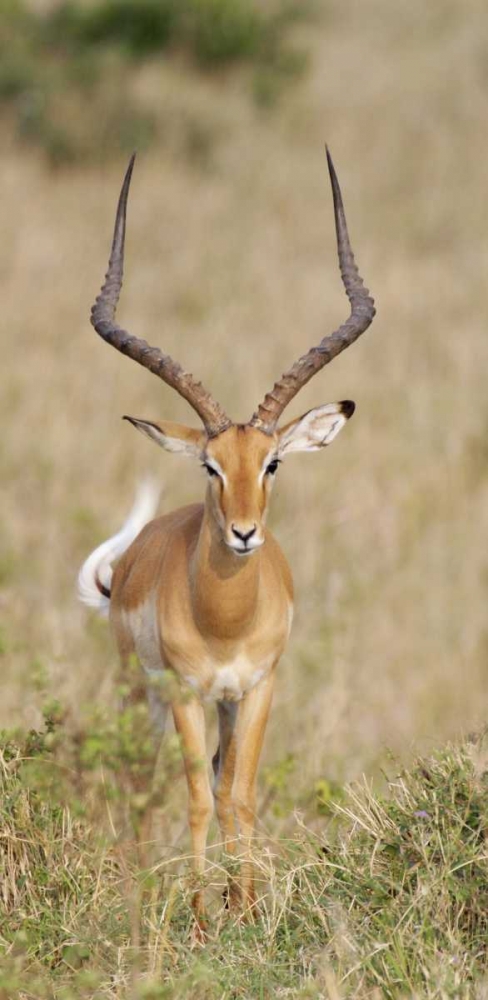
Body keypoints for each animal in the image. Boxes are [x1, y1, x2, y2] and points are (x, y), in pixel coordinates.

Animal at [79, 150, 375, 932]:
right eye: (211, 465)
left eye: (271, 463)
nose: (244, 533)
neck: (225, 622)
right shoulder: (185, 691)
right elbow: (194, 798)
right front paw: (202, 914)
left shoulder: (259, 686)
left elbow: (237, 791)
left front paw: (244, 907)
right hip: (142, 693)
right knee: (145, 780)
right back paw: (138, 888)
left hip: (224, 702)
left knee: (216, 778)